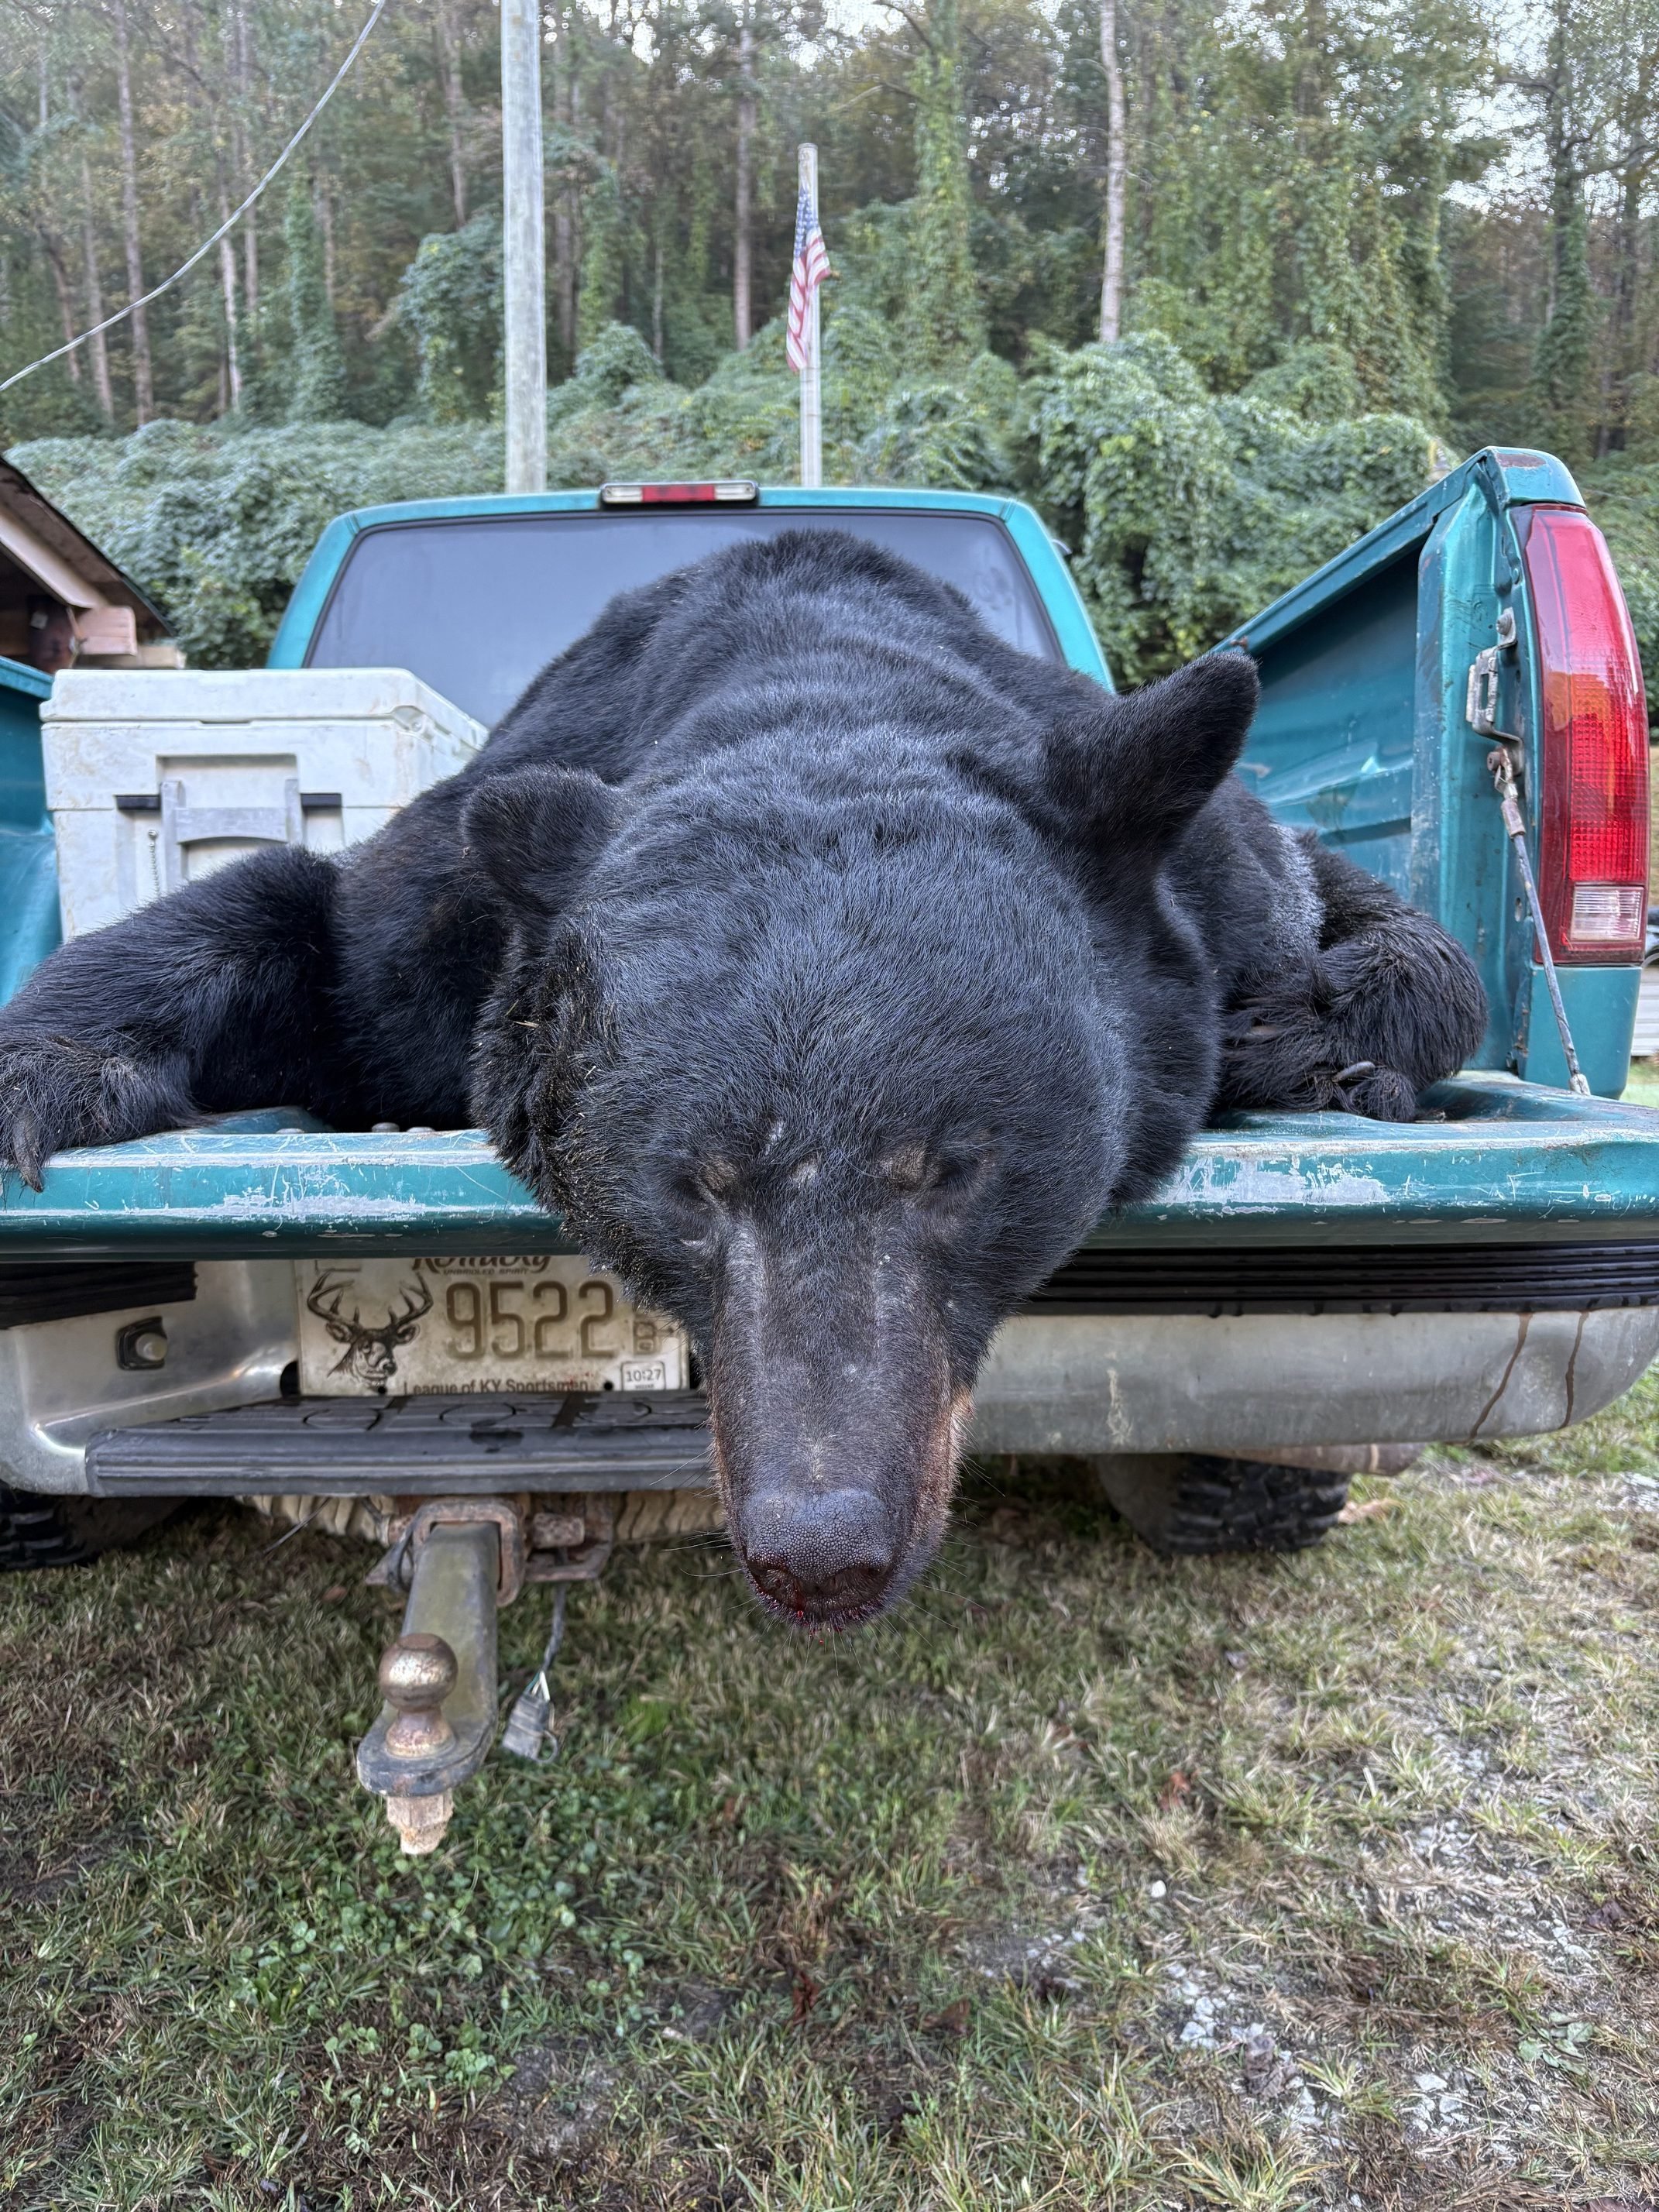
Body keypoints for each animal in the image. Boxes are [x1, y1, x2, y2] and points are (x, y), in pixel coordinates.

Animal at [0, 530, 1486, 1625]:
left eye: (954, 1169)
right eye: (692, 1186)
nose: (821, 1549)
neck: (814, 688)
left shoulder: (1220, 886)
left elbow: (1402, 949)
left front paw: (1325, 1030)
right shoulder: (440, 931)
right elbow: (287, 909)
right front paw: (47, 1067)